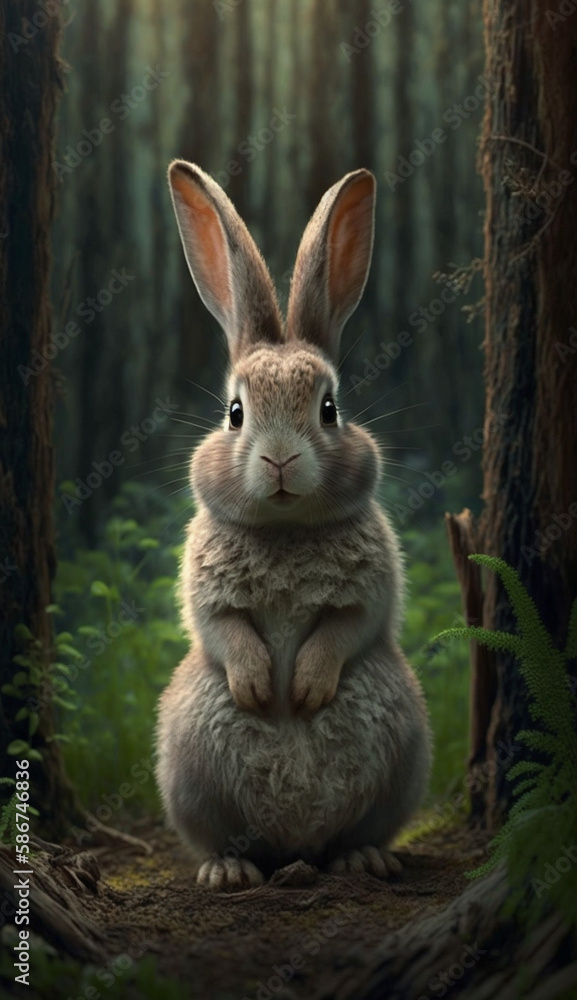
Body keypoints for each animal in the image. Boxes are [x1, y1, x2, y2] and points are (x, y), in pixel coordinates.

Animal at [155, 160, 432, 891]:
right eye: (234, 413)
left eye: (329, 408)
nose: (279, 459)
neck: (284, 530)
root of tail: (296, 846)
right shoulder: (207, 599)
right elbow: (224, 631)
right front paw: (260, 685)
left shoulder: (370, 595)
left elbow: (345, 630)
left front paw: (303, 687)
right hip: (190, 768)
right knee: (224, 838)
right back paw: (230, 871)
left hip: (402, 754)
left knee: (357, 832)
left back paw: (360, 858)